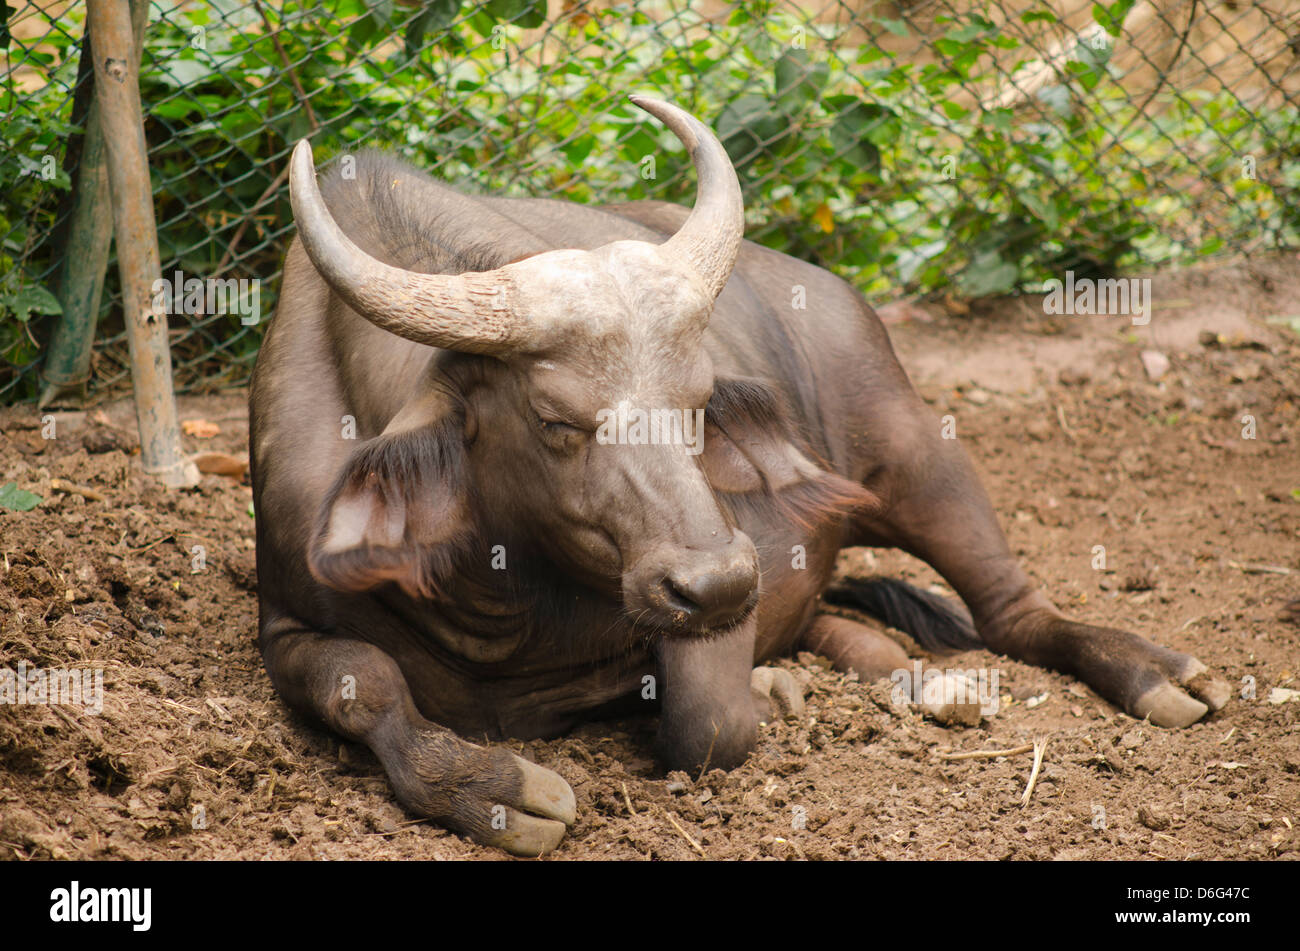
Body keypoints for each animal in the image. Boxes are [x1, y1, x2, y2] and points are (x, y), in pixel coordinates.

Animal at [250, 96, 1227, 852]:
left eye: (696, 400)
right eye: (554, 419)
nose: (717, 581)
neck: (504, 606)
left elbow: (708, 725)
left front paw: (757, 689)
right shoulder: (283, 626)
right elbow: (363, 683)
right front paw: (490, 788)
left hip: (920, 455)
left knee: (1013, 614)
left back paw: (1157, 673)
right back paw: (906, 679)